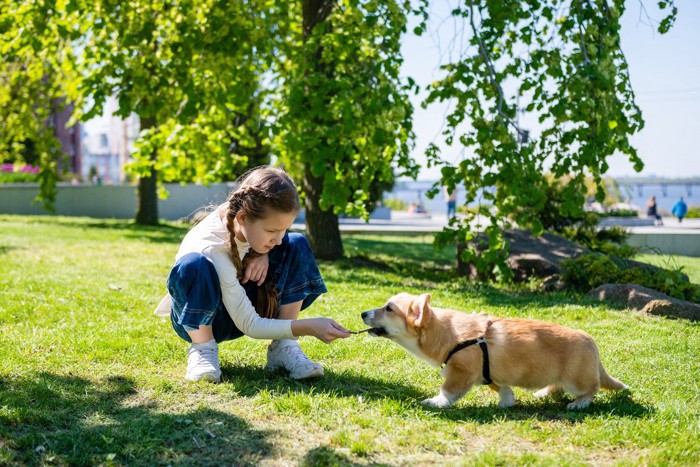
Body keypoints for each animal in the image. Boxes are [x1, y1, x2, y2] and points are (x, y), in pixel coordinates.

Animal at [360, 294, 628, 412]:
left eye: (388, 308)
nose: (362, 313)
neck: (443, 332)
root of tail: (591, 342)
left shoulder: (461, 373)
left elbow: (448, 392)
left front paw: (436, 402)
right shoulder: (489, 374)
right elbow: (503, 388)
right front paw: (506, 402)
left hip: (577, 379)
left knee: (591, 389)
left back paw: (579, 404)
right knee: (556, 385)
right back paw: (542, 392)